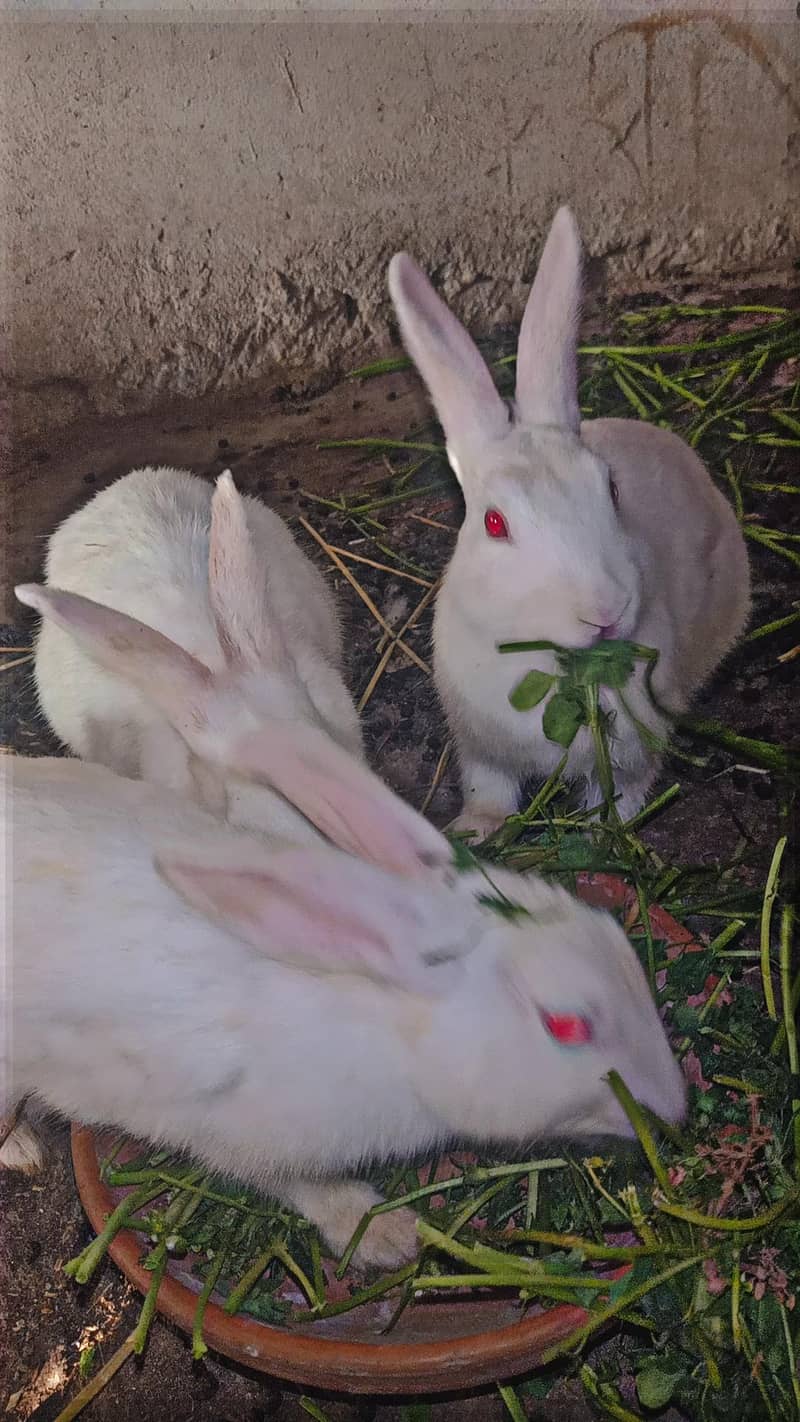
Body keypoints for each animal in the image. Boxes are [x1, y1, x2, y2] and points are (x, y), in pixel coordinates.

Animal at [2, 724, 686, 1266]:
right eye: (566, 1026)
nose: (676, 1107)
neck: (398, 1036)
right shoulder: (248, 1140)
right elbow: (309, 1188)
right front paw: (389, 1236)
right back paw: (21, 1149)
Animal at [388, 208, 751, 837]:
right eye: (495, 523)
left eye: (610, 488)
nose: (605, 612)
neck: (553, 659)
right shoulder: (481, 750)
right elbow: (489, 791)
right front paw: (473, 831)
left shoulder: (636, 753)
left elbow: (622, 795)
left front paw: (604, 831)